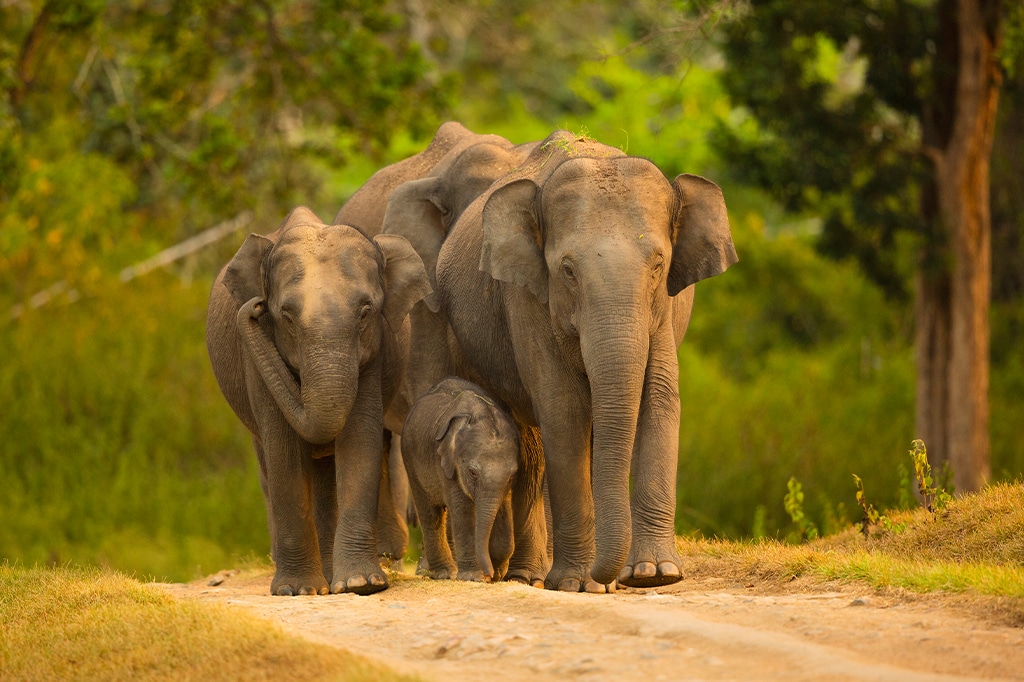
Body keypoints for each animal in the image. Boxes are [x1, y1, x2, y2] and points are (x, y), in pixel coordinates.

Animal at [206, 207, 431, 596]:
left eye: (365, 312)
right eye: (285, 315)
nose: (255, 306)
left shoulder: (374, 354)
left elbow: (359, 440)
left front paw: (361, 584)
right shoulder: (256, 358)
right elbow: (283, 449)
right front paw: (297, 591)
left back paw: (330, 576)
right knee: (269, 461)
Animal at [402, 377, 520, 582]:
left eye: (513, 475)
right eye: (472, 473)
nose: (488, 574)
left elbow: (504, 509)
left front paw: (497, 574)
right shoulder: (447, 464)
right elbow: (462, 510)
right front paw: (474, 577)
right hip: (410, 457)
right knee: (430, 513)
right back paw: (444, 573)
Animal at [435, 130, 738, 593]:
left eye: (658, 265)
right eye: (568, 270)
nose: (609, 578)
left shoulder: (663, 310)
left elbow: (659, 398)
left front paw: (654, 575)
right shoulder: (527, 297)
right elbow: (564, 409)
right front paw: (577, 584)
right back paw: (532, 577)